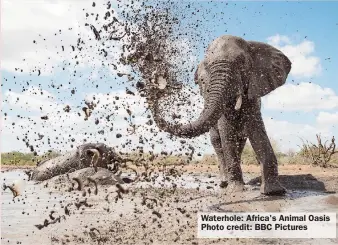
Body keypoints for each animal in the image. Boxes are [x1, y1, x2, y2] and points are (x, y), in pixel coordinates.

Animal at [149, 35, 294, 195]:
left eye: (242, 62)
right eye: (207, 67)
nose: (158, 83)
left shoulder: (254, 91)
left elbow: (256, 130)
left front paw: (274, 192)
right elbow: (227, 132)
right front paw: (236, 190)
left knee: (239, 142)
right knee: (218, 142)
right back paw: (224, 183)